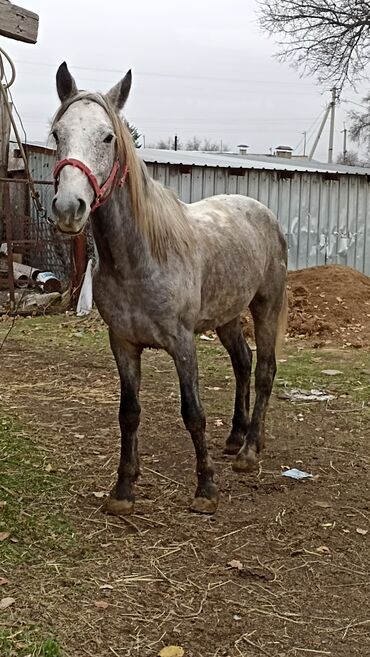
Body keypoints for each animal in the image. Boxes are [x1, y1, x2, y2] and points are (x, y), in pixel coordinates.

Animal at [50, 62, 288, 512]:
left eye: (108, 137)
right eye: (57, 134)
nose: (69, 209)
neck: (139, 259)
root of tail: (263, 212)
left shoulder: (182, 343)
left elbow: (193, 413)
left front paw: (206, 490)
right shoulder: (123, 343)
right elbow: (128, 413)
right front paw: (123, 489)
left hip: (266, 305)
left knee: (265, 369)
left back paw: (249, 452)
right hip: (227, 316)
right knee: (243, 362)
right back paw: (237, 437)